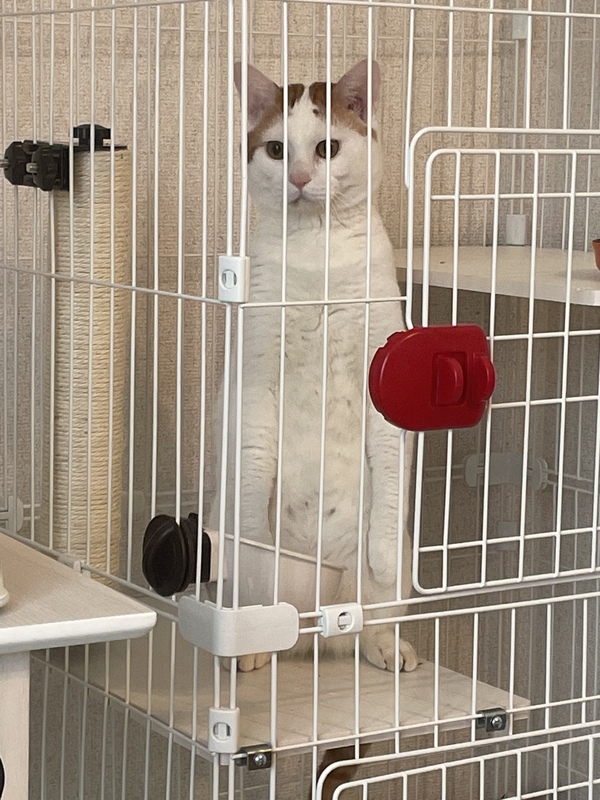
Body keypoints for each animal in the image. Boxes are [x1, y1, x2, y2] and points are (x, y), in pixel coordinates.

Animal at [208, 59, 418, 675]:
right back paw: (252, 653)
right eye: (277, 150)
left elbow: (390, 480)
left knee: (364, 618)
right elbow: (255, 478)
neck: (315, 256)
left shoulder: (383, 378)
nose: (300, 177)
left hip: (386, 580)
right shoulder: (254, 381)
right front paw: (257, 544)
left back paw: (385, 648)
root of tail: (309, 634)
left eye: (327, 147)